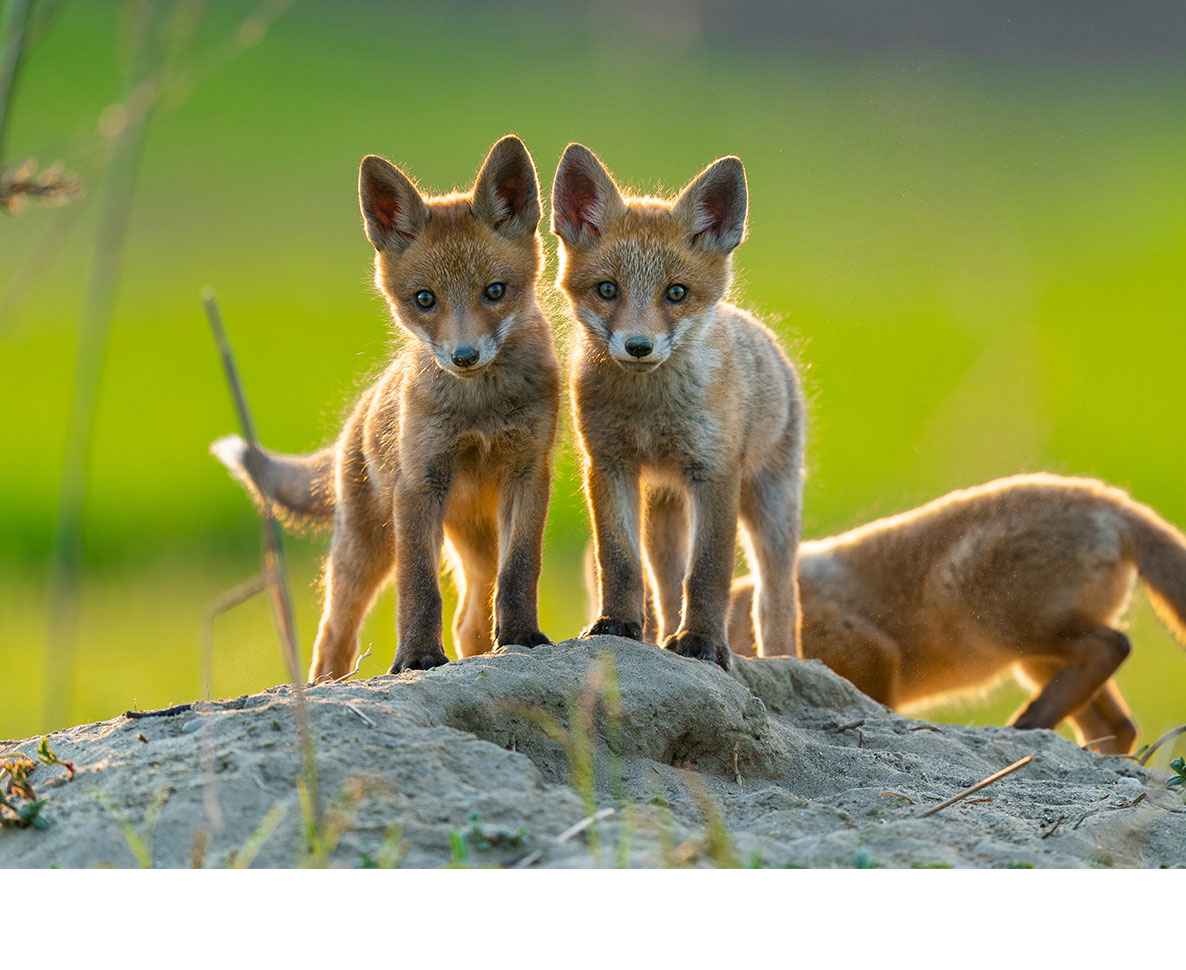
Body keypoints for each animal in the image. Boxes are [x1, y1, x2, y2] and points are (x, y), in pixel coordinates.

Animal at [212, 136, 559, 678]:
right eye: (424, 300)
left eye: (495, 291)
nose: (464, 357)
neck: (479, 409)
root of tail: (358, 415)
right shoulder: (419, 485)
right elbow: (418, 590)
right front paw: (416, 658)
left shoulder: (529, 473)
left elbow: (521, 570)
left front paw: (522, 637)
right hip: (365, 549)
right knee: (333, 636)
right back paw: (325, 685)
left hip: (474, 543)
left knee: (469, 619)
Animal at [550, 143, 801, 668]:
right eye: (608, 289)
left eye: (676, 293)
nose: (638, 346)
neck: (651, 410)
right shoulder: (609, 464)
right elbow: (619, 561)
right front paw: (618, 624)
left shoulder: (715, 471)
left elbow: (708, 573)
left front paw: (702, 643)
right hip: (664, 512)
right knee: (666, 587)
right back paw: (663, 633)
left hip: (771, 507)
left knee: (778, 600)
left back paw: (784, 661)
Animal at [721, 471, 1186, 754]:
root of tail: (1109, 500)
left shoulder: (870, 650)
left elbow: (876, 703)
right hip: (1035, 659)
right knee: (1120, 724)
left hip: (1001, 622)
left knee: (1113, 646)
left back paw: (1024, 725)